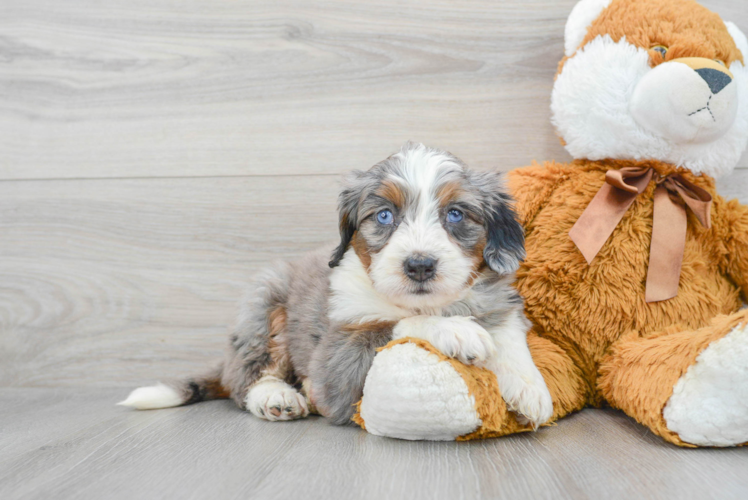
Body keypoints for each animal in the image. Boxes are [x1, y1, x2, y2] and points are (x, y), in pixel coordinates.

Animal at [120, 143, 556, 428]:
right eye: (384, 215)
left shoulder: (497, 298)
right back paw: (277, 397)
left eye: (455, 214)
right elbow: (392, 325)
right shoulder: (335, 355)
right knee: (245, 378)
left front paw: (531, 390)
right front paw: (455, 330)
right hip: (264, 301)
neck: (422, 302)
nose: (419, 266)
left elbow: (509, 334)